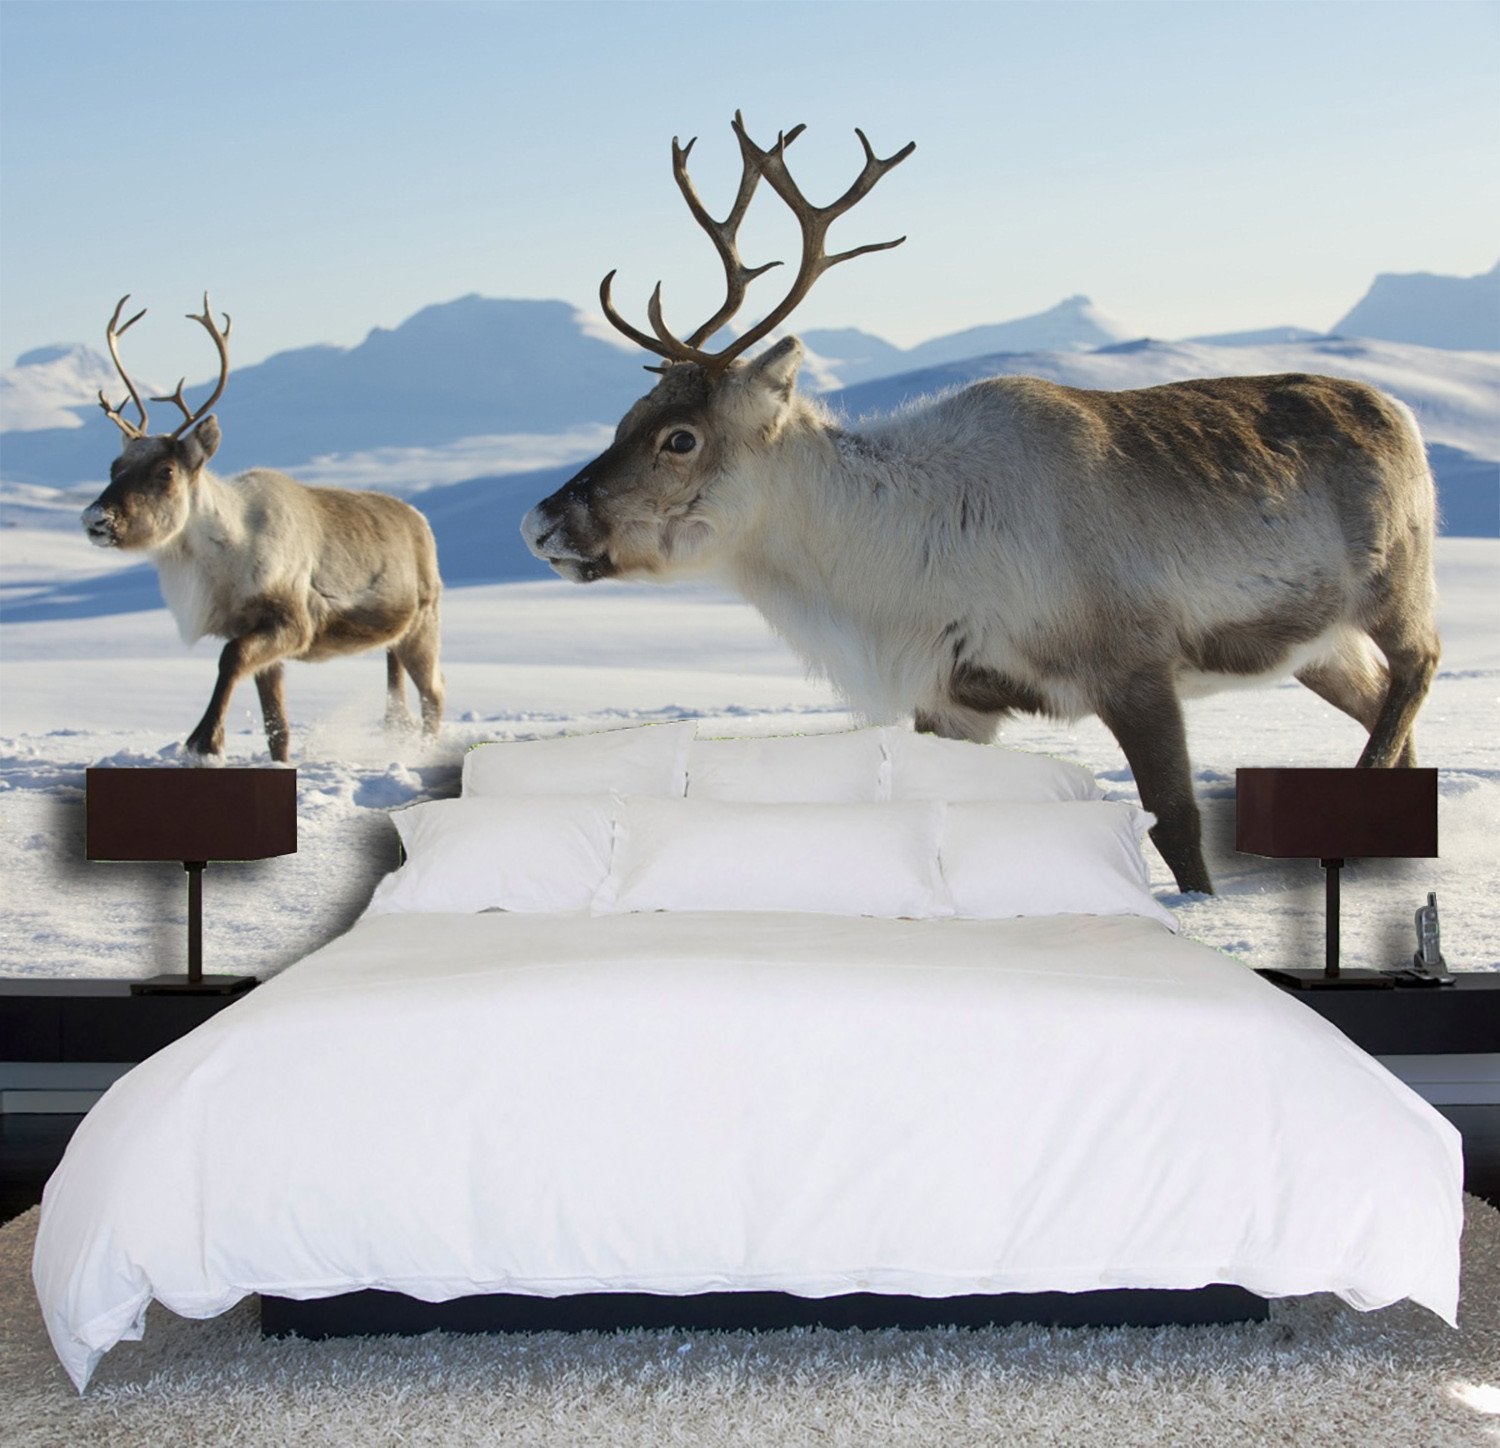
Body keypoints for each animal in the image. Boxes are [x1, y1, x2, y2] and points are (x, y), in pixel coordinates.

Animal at [83, 295, 444, 762]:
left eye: (165, 471)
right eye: (114, 466)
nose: (96, 519)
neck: (225, 557)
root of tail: (419, 520)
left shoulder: (292, 623)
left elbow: (230, 658)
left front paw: (204, 741)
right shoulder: (257, 633)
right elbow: (277, 727)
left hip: (424, 623)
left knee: (434, 695)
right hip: (396, 640)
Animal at [522, 114, 1440, 894]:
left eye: (680, 437)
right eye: (625, 418)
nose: (540, 520)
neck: (892, 564)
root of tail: (1398, 409)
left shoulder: (1132, 665)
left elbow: (1177, 826)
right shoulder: (957, 699)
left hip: (1395, 584)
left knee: (1417, 667)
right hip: (1318, 645)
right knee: (1381, 706)